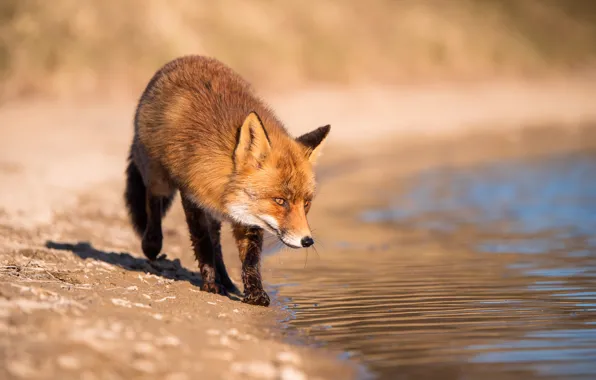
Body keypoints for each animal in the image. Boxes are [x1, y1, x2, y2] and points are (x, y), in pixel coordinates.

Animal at [125, 55, 330, 306]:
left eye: (306, 203)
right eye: (280, 201)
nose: (307, 241)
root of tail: (188, 57)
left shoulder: (249, 215)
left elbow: (250, 259)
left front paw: (254, 293)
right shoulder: (192, 197)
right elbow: (202, 244)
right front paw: (210, 285)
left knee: (217, 243)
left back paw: (225, 279)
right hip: (158, 178)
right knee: (154, 203)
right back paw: (152, 244)